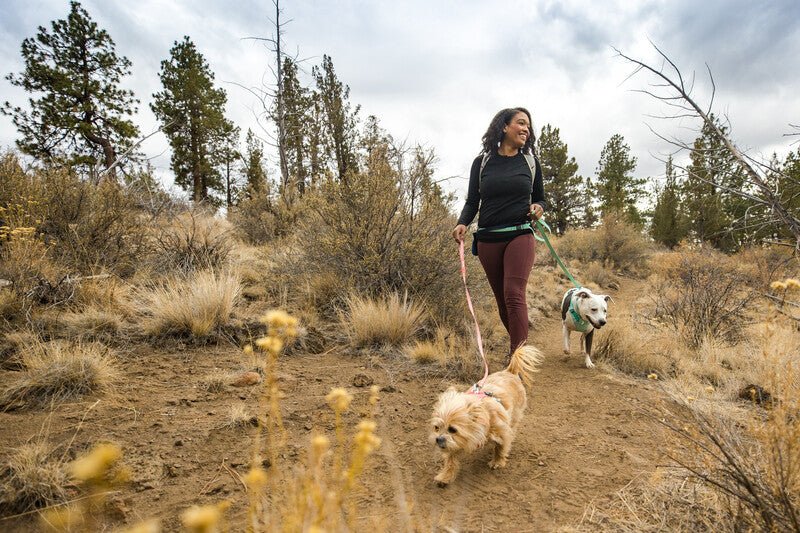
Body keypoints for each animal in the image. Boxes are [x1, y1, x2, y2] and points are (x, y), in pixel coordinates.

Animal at [432, 344, 544, 486]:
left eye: (453, 429)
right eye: (436, 428)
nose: (438, 439)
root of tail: (509, 371)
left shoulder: (502, 432)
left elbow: (501, 448)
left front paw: (497, 462)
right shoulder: (453, 444)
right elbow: (450, 460)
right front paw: (445, 476)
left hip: (516, 415)